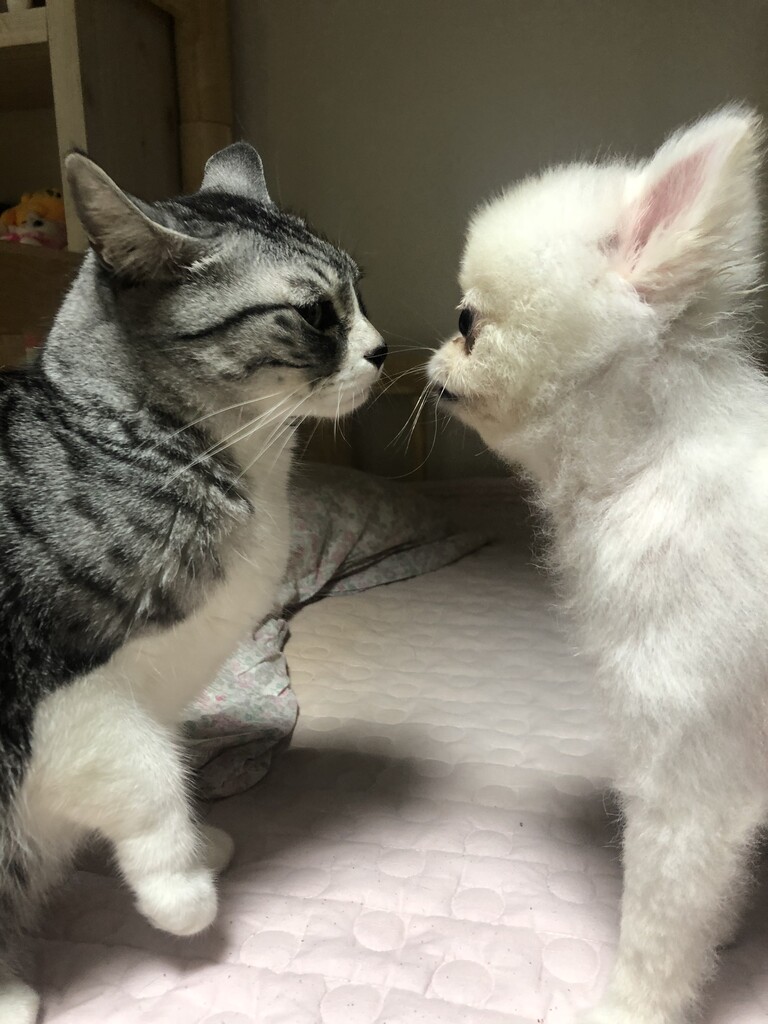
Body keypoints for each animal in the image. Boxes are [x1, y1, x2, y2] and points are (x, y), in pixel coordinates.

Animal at [0, 142, 387, 1023]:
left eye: (359, 288)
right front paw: (183, 896)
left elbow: (164, 768)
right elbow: (147, 774)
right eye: (317, 314)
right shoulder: (68, 694)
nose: (383, 349)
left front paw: (199, 847)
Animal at [428, 106, 768, 1024]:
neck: (645, 461)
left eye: (469, 320)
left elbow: (660, 921)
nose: (431, 354)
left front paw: (631, 1008)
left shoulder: (686, 775)